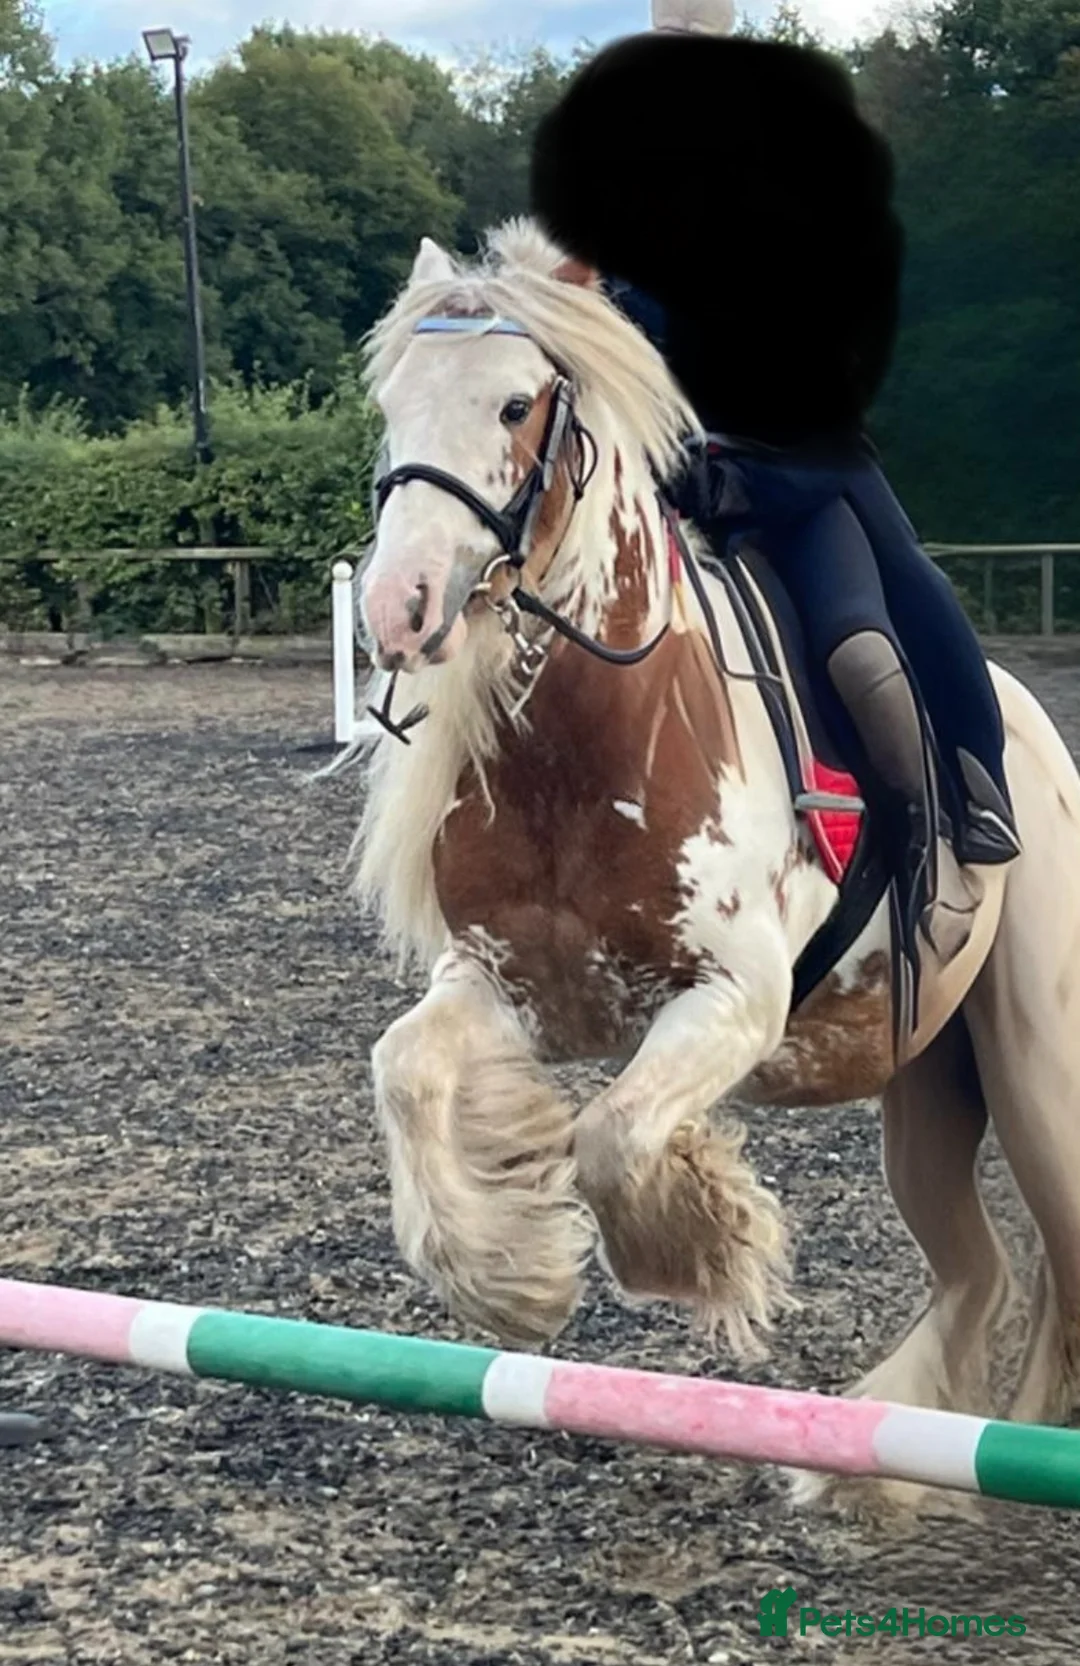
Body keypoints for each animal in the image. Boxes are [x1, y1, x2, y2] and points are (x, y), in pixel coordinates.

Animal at [345, 218, 1080, 1509]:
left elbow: (615, 1139)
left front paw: (704, 1239)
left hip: (1039, 1080)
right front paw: (513, 1279)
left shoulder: (734, 1001)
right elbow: (409, 1072)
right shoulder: (507, 986)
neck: (590, 741)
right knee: (978, 1272)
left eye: (517, 402)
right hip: (931, 1084)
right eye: (392, 402)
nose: (398, 606)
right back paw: (878, 1468)